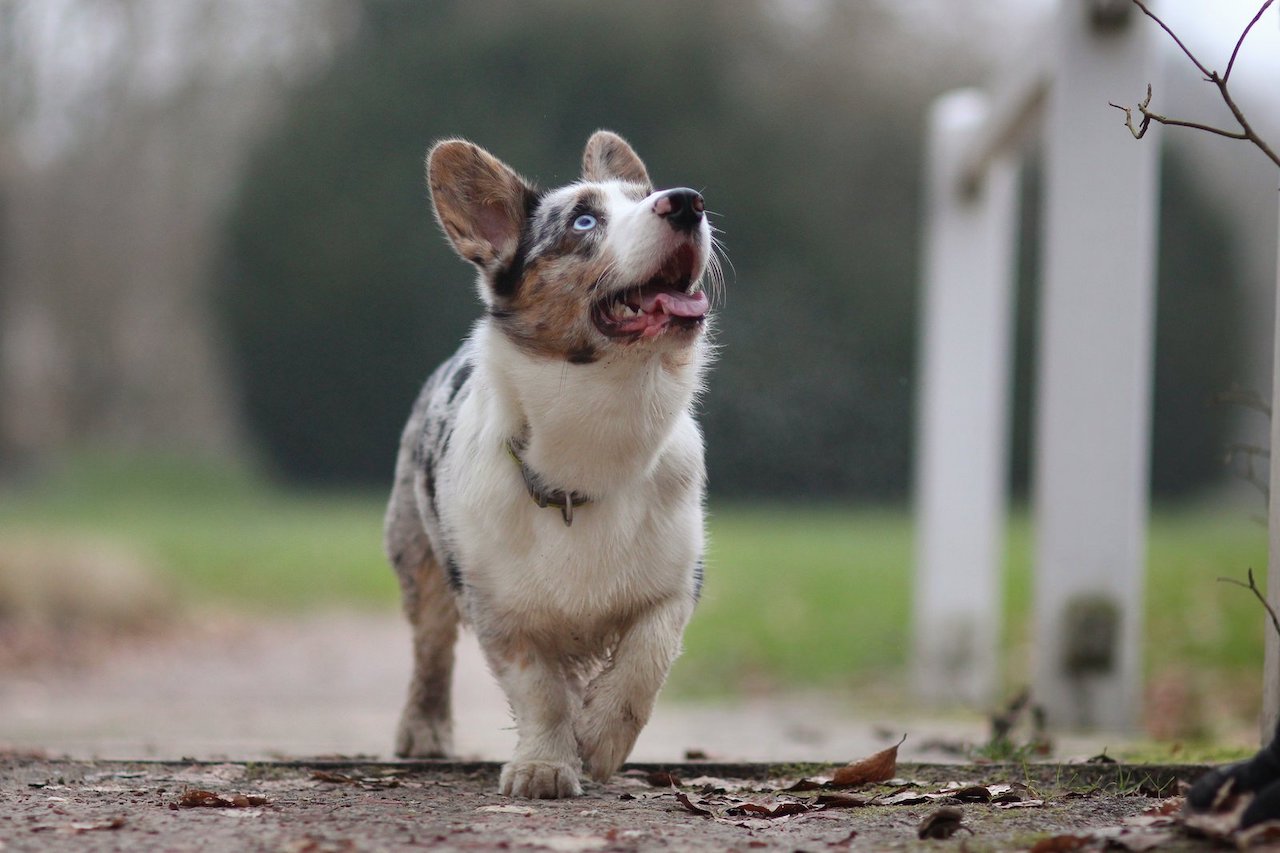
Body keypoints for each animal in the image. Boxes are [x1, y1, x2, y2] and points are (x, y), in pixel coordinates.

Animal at [378, 129, 721, 794]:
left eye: (645, 196)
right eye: (584, 220)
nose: (688, 202)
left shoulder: (675, 585)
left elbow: (644, 662)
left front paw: (601, 739)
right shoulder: (498, 609)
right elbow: (539, 691)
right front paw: (544, 766)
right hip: (419, 559)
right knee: (431, 648)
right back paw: (424, 733)